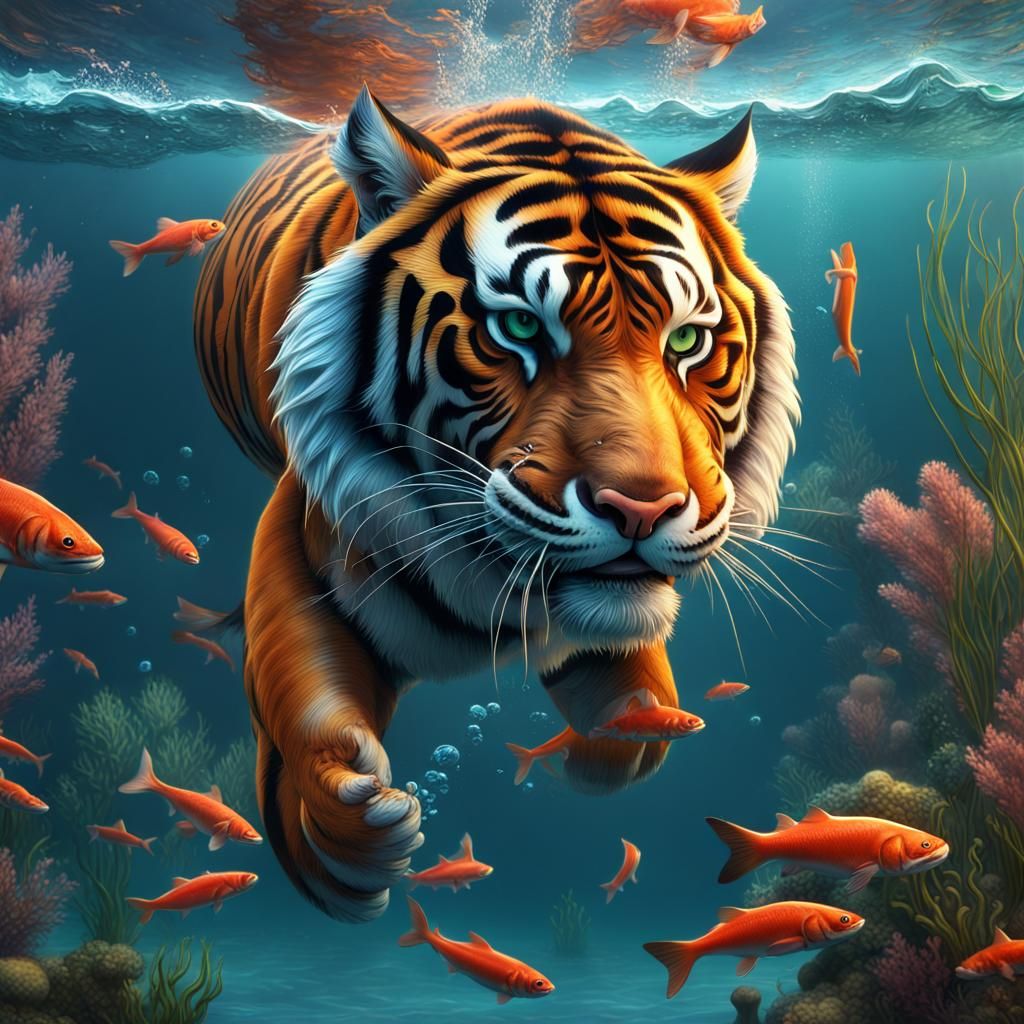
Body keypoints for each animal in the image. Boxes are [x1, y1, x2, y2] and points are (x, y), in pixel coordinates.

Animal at [192, 88, 799, 924]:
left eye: (685, 342)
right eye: (518, 327)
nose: (641, 510)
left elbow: (640, 713)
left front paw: (611, 736)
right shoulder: (307, 537)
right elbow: (301, 697)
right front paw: (351, 832)